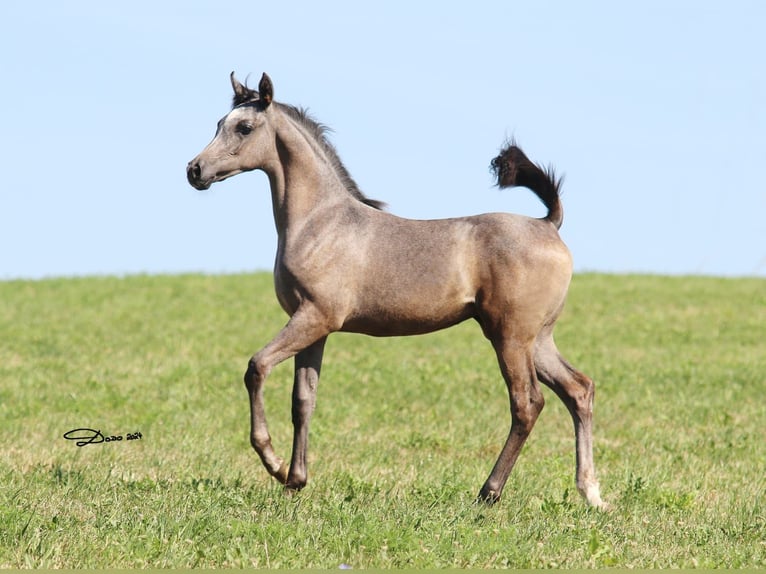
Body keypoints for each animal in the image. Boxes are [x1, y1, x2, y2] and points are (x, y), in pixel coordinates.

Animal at [186, 72, 608, 508]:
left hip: (510, 337)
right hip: (537, 339)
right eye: (218, 123)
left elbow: (257, 367)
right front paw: (295, 480)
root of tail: (548, 224)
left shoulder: (314, 317)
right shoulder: (313, 328)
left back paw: (489, 492)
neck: (320, 223)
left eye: (244, 127)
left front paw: (273, 463)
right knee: (579, 389)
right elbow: (304, 400)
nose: (195, 170)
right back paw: (591, 492)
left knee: (528, 403)